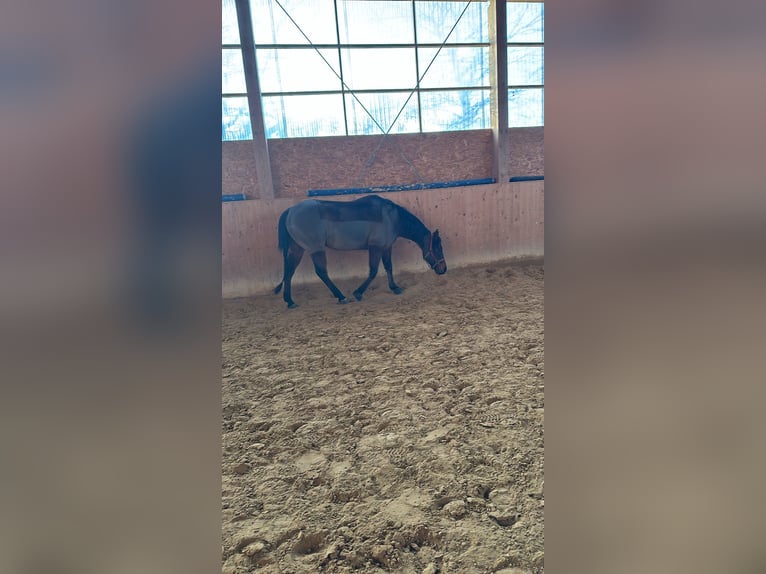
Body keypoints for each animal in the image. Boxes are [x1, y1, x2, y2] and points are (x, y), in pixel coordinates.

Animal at [273, 194, 446, 308]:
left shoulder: (386, 247)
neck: (392, 218)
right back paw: (341, 297)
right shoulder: (375, 247)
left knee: (289, 271)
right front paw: (358, 293)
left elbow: (389, 267)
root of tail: (290, 211)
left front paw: (394, 287)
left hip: (298, 248)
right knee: (321, 272)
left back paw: (290, 301)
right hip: (316, 249)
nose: (443, 269)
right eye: (438, 248)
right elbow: (373, 271)